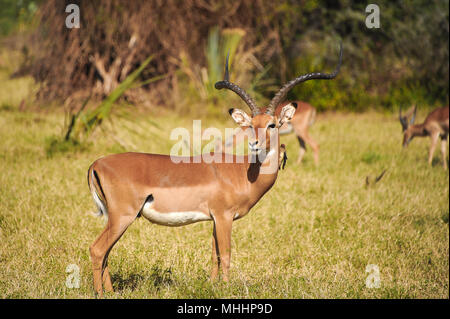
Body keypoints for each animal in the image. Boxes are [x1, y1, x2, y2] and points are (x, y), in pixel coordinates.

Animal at [86, 43, 342, 298]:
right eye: (251, 124)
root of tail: (97, 164)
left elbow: (214, 255)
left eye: (272, 124)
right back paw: (100, 293)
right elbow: (226, 255)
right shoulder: (224, 216)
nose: (255, 143)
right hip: (123, 216)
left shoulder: (213, 219)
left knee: (106, 253)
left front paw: (211, 285)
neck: (243, 173)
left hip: (116, 218)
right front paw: (227, 288)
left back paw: (111, 292)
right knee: (97, 249)